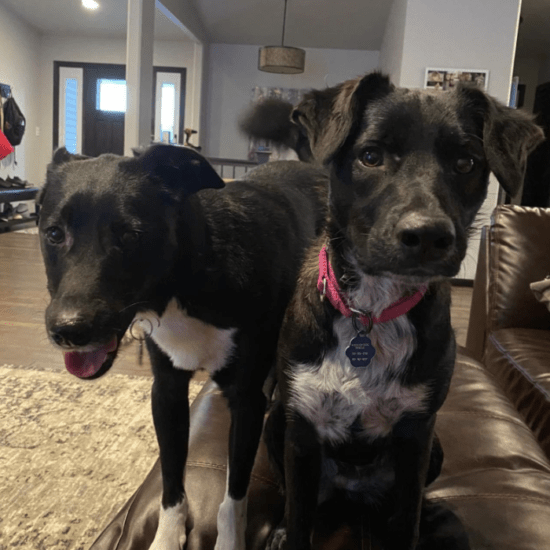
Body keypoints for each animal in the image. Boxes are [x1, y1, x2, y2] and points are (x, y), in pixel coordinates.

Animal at [38, 146, 330, 550]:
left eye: (130, 235)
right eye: (53, 233)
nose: (69, 330)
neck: (190, 277)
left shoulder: (245, 402)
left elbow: (234, 495)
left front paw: (229, 541)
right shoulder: (167, 392)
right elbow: (172, 479)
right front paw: (166, 537)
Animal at [256, 73, 544, 550]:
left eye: (466, 162)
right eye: (370, 156)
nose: (427, 236)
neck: (371, 310)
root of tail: (353, 491)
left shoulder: (416, 432)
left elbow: (406, 518)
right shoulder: (301, 427)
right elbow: (298, 515)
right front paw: (286, 530)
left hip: (435, 447)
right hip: (275, 422)